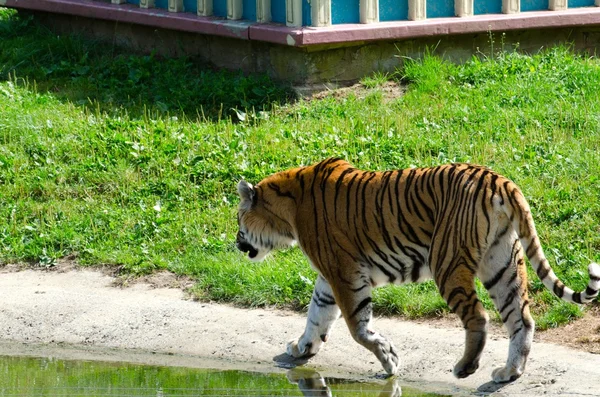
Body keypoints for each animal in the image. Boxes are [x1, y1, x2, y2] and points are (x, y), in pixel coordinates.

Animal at [236, 156, 600, 382]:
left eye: (238, 219)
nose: (237, 244)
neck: (287, 211)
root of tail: (497, 179)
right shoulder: (329, 278)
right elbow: (316, 315)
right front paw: (302, 348)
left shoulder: (344, 273)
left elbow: (357, 327)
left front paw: (389, 359)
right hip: (502, 263)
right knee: (522, 319)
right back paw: (509, 372)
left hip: (448, 262)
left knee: (478, 317)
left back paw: (465, 367)